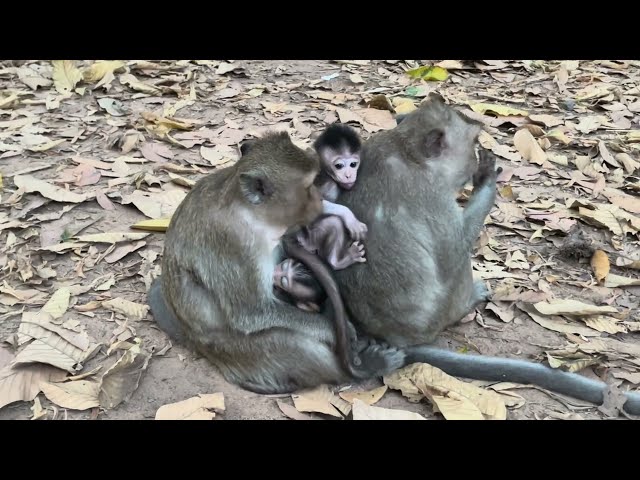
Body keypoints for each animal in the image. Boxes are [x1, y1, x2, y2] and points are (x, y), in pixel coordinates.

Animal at [148, 131, 402, 394]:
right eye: (310, 185)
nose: (319, 199)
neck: (250, 214)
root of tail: (194, 340)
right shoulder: (233, 242)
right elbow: (251, 314)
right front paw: (336, 331)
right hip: (234, 349)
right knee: (294, 343)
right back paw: (365, 364)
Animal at [332, 93, 640, 416]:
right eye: (473, 141)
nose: (476, 159)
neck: (406, 149)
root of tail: (391, 337)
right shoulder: (432, 195)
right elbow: (452, 252)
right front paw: (488, 179)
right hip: (441, 311)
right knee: (458, 265)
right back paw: (469, 300)